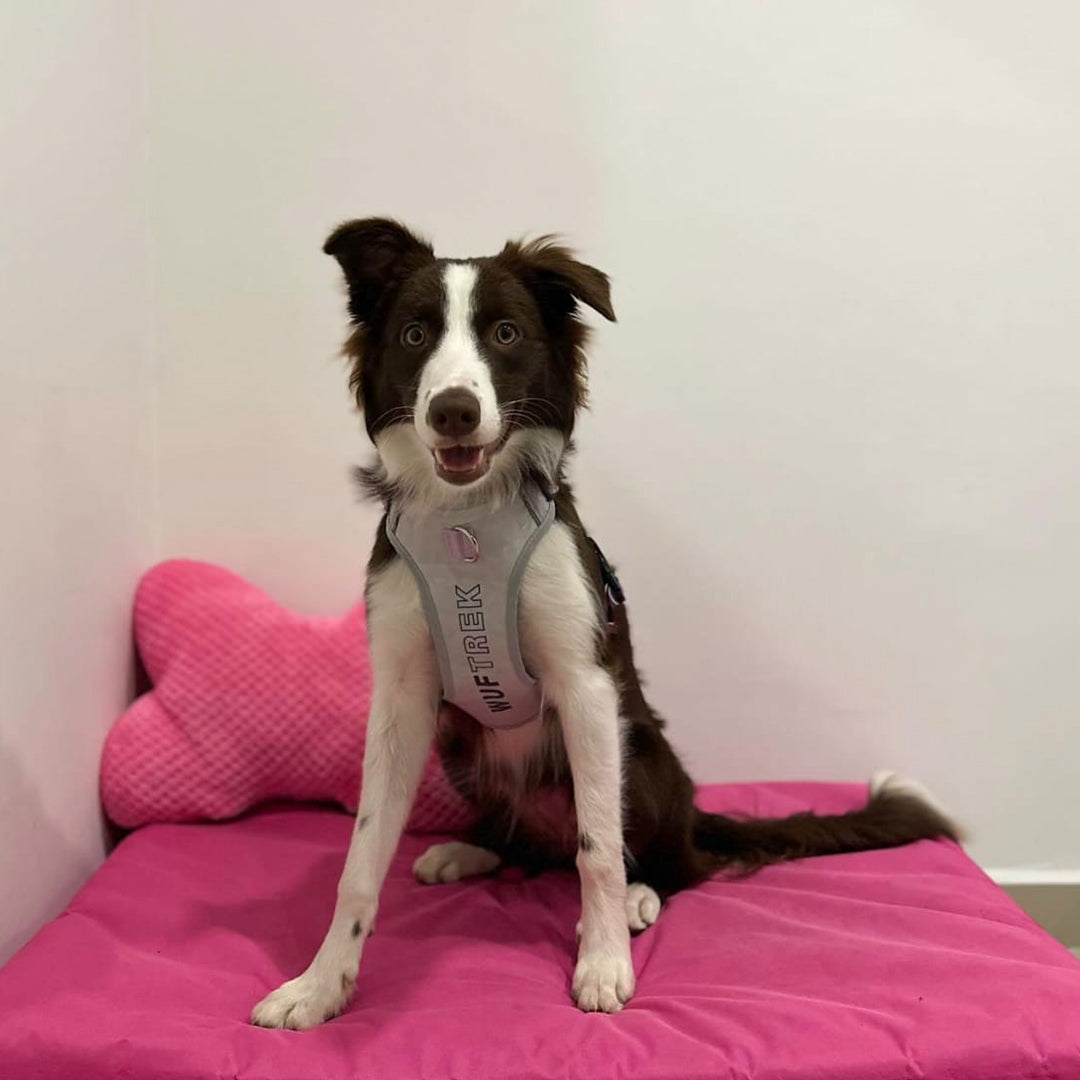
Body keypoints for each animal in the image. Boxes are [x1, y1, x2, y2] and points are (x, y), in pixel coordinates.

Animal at [248, 219, 959, 1028]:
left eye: (505, 332)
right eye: (414, 335)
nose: (454, 410)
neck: (468, 526)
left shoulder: (586, 687)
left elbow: (599, 850)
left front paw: (604, 960)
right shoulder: (401, 697)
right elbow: (362, 860)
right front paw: (319, 986)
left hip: (640, 757)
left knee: (666, 860)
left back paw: (642, 894)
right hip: (463, 746)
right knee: (528, 840)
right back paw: (470, 849)